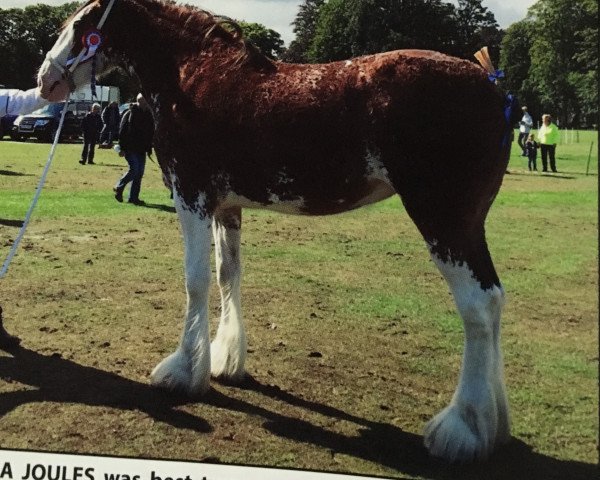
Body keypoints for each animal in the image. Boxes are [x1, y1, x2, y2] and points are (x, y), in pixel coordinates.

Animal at [37, 0, 512, 464]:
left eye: (80, 25)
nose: (45, 81)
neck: (193, 73)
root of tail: (492, 88)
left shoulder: (191, 197)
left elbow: (195, 281)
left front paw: (182, 371)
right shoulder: (225, 208)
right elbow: (227, 276)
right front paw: (225, 359)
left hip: (443, 219)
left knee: (477, 306)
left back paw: (462, 428)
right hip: (469, 223)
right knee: (493, 302)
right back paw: (494, 424)